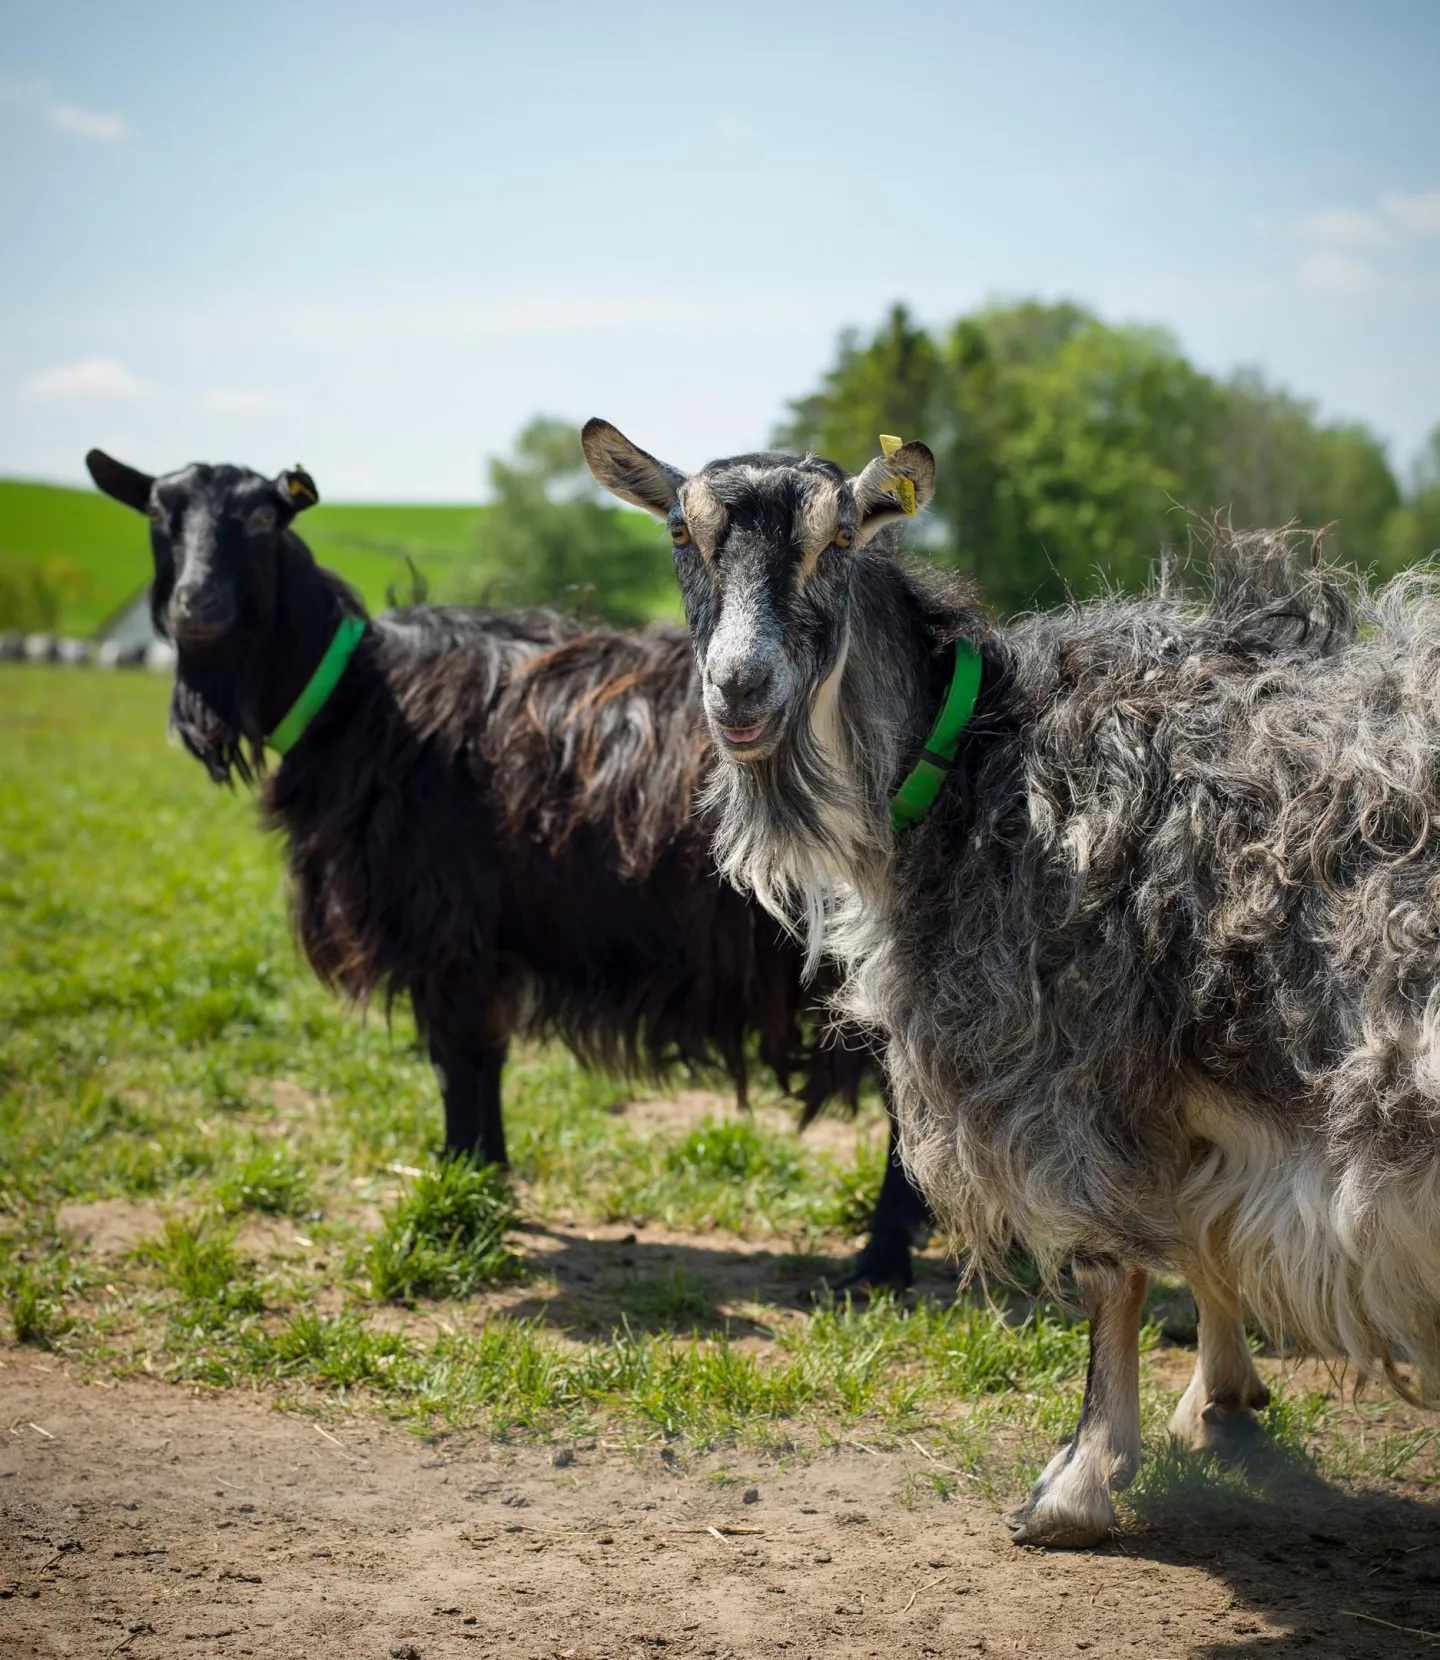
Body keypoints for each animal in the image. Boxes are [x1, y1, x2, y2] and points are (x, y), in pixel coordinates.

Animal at [84, 447, 934, 1290]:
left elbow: (459, 1063)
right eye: (158, 512)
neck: (358, 697)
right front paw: (483, 1183)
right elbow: (481, 1061)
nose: (197, 606)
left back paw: (879, 1263)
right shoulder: (481, 940)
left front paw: (464, 1191)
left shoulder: (446, 927)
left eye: (264, 515)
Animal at [585, 416, 1440, 1548]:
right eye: (682, 531)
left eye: (840, 537)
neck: (975, 759)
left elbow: (1115, 1266)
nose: (740, 689)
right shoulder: (1177, 1067)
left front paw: (1075, 1482)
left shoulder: (1058, 1056)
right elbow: (1205, 1234)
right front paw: (1221, 1401)